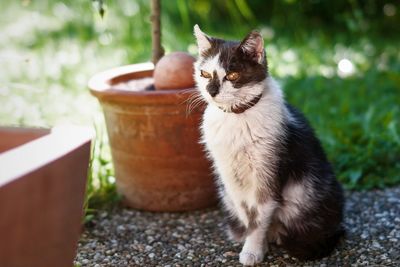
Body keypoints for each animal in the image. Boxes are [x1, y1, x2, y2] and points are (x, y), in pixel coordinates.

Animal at [192, 24, 346, 266]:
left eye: (233, 75)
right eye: (204, 74)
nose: (212, 91)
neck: (237, 117)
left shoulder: (268, 172)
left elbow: (259, 216)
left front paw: (252, 250)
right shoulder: (230, 177)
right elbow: (247, 212)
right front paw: (255, 242)